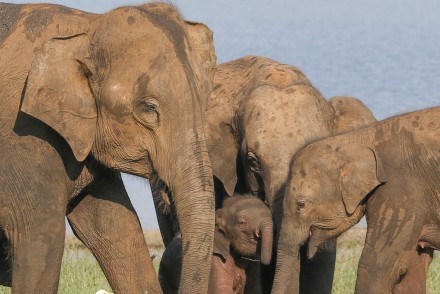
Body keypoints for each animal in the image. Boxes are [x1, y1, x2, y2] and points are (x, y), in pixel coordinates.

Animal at [0, 2, 217, 294]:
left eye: (204, 101)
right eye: (149, 108)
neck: (85, 29)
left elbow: (118, 229)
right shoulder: (23, 134)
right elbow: (41, 237)